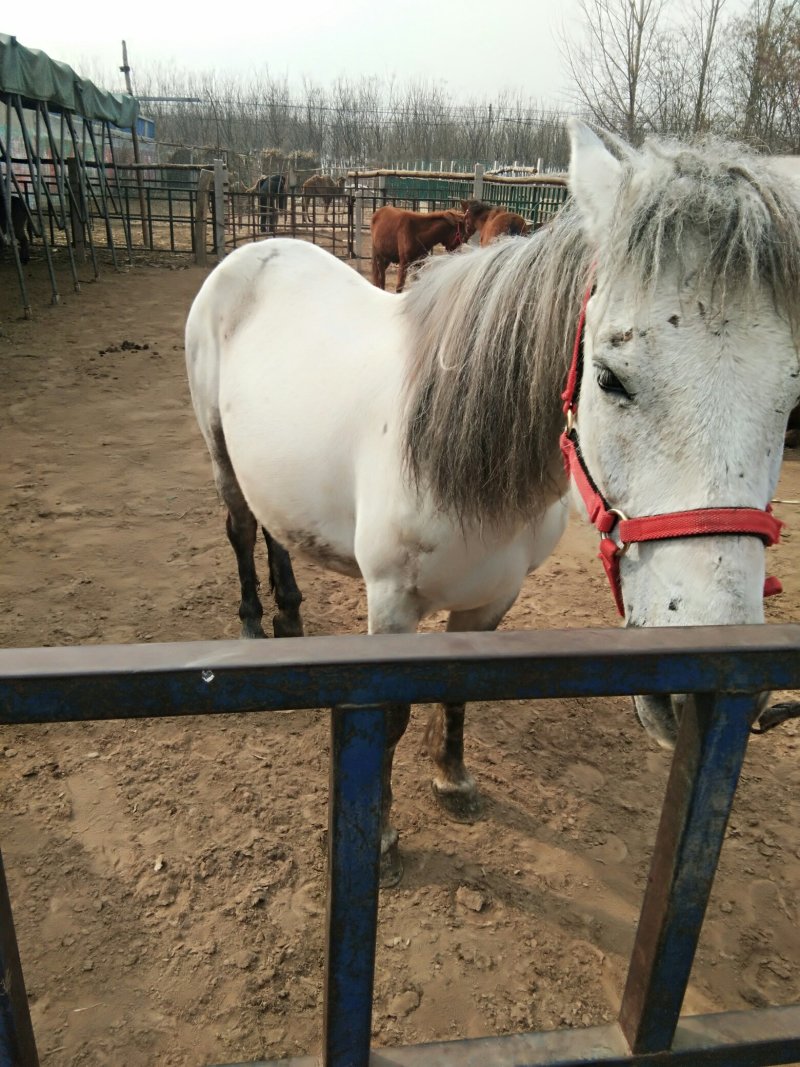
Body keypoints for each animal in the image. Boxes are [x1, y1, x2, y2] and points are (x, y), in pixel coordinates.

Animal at [185, 120, 800, 886]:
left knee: (275, 530)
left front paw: (452, 778)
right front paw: (381, 833)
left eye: (792, 396)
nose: (705, 671)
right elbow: (389, 718)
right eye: (609, 377)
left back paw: (292, 615)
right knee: (241, 528)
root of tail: (253, 251)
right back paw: (251, 621)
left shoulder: (493, 600)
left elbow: (459, 691)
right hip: (217, 446)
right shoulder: (390, 603)